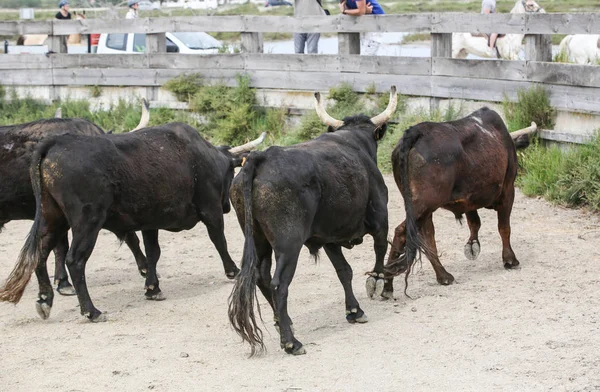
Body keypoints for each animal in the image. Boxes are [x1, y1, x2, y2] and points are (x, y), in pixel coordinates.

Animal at [0, 122, 262, 322]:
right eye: (231, 173)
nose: (227, 206)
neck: (205, 156)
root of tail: (55, 143)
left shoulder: (151, 221)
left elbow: (153, 252)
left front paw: (153, 288)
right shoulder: (210, 209)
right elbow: (219, 240)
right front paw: (233, 270)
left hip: (53, 218)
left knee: (40, 254)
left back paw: (46, 299)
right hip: (88, 221)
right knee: (74, 260)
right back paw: (91, 311)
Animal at [227, 87, 400, 356]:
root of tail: (260, 158)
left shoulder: (328, 237)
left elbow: (344, 271)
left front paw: (354, 310)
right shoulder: (381, 218)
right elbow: (380, 251)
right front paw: (376, 281)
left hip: (258, 239)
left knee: (261, 277)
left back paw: (283, 322)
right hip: (289, 244)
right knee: (278, 284)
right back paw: (291, 342)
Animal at [386, 107, 536, 298]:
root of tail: (416, 131)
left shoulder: (469, 198)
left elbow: (474, 222)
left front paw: (472, 245)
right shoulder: (508, 190)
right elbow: (504, 228)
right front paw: (510, 259)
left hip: (422, 207)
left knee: (427, 237)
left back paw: (440, 276)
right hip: (424, 204)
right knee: (402, 231)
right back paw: (385, 282)